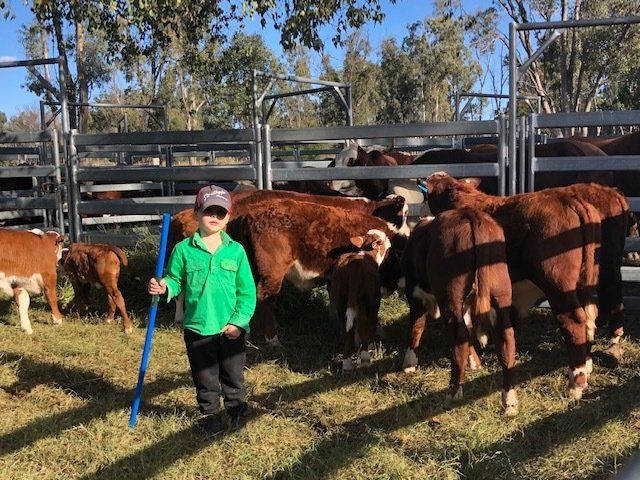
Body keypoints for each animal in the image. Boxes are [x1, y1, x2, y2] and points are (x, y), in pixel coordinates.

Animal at [330, 231, 388, 372]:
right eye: (383, 239)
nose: (387, 237)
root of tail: (353, 266)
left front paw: (356, 343)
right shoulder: (375, 301)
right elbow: (370, 323)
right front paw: (370, 346)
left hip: (340, 298)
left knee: (345, 326)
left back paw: (347, 363)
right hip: (365, 299)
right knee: (363, 322)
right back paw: (365, 359)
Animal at [402, 209, 516, 414]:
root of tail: (470, 214)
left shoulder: (414, 294)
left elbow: (416, 327)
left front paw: (409, 364)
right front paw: (474, 363)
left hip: (450, 296)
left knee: (458, 336)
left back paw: (453, 394)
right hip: (500, 293)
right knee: (505, 338)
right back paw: (510, 402)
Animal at [420, 173, 601, 400]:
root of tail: (569, 200)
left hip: (558, 285)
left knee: (573, 320)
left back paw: (576, 381)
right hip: (586, 281)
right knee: (588, 318)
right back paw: (585, 366)